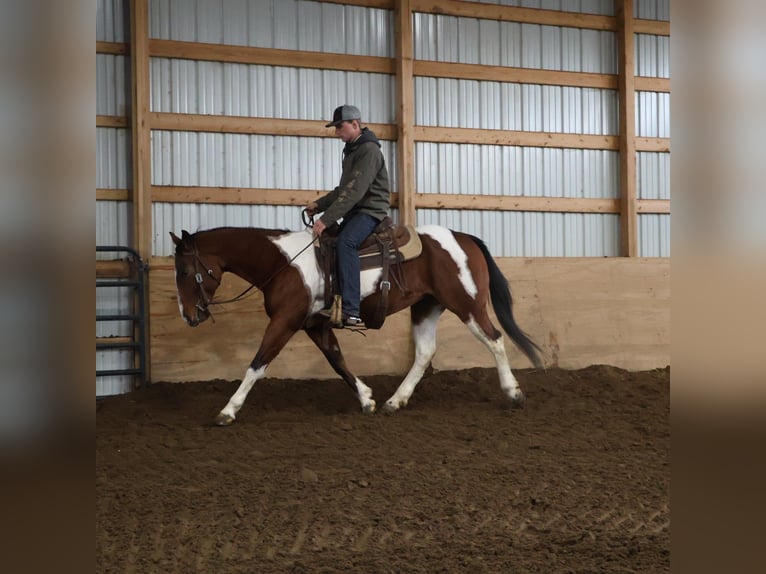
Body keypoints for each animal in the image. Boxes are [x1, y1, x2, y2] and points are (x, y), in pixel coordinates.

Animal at [170, 224, 544, 425]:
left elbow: (257, 364)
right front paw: (367, 399)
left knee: (494, 339)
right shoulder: (313, 325)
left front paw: (227, 411)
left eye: (186, 271)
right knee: (424, 352)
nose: (189, 315)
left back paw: (513, 393)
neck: (285, 264)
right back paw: (396, 401)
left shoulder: (285, 321)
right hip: (427, 306)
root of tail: (463, 237)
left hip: (466, 304)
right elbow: (337, 360)